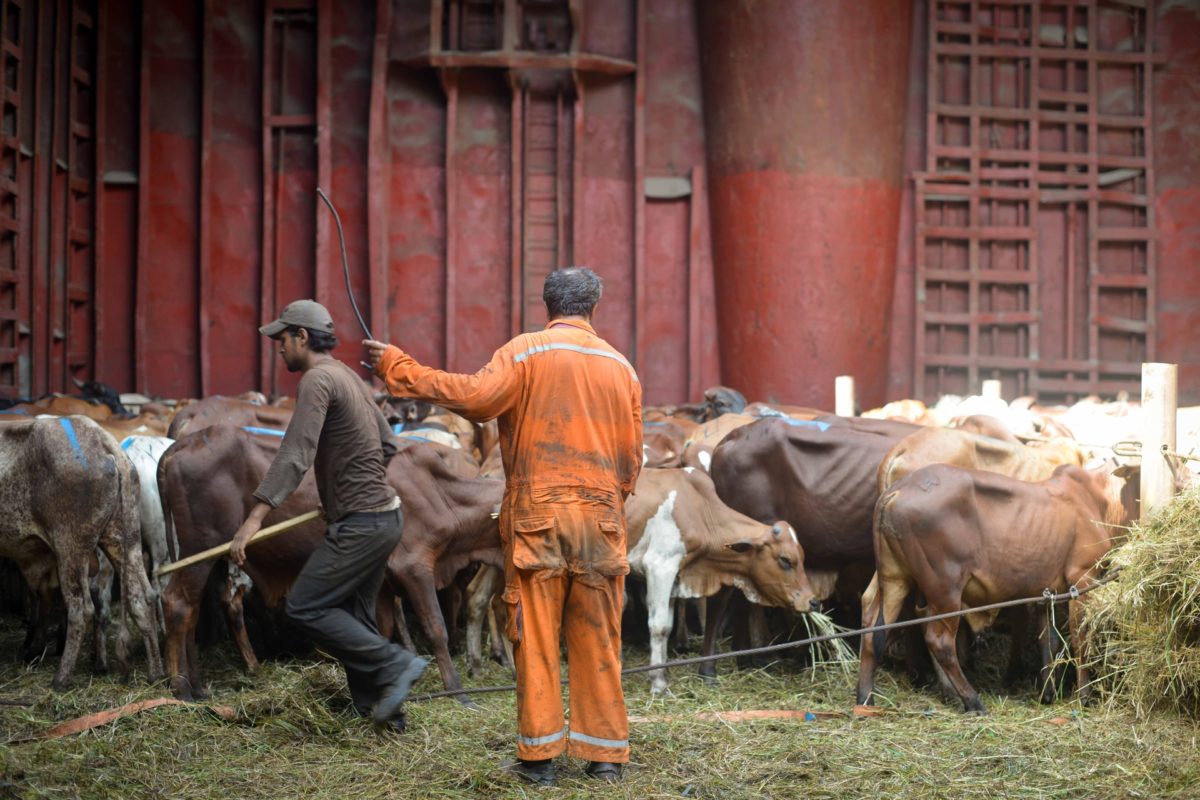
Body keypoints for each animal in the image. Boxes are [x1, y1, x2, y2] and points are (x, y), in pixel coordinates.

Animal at [859, 462, 1128, 714]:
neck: (1098, 497)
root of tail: (897, 489)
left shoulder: (1046, 592)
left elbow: (1048, 641)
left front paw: (1048, 693)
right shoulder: (1083, 577)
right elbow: (1080, 638)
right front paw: (1085, 696)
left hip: (894, 577)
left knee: (873, 626)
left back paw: (865, 700)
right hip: (945, 588)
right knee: (939, 641)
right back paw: (972, 701)